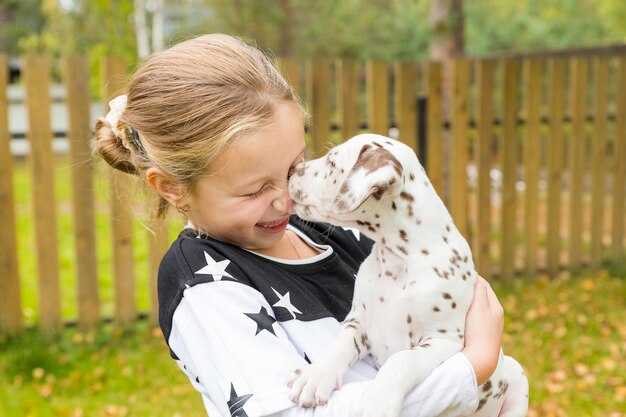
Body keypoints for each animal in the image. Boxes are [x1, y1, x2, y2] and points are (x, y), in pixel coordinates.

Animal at [288, 133, 528, 416]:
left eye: (332, 163)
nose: (291, 171)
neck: (398, 261)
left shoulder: (442, 339)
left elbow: (402, 361)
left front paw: (378, 401)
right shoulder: (359, 322)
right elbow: (339, 347)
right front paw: (316, 376)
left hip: (516, 374)